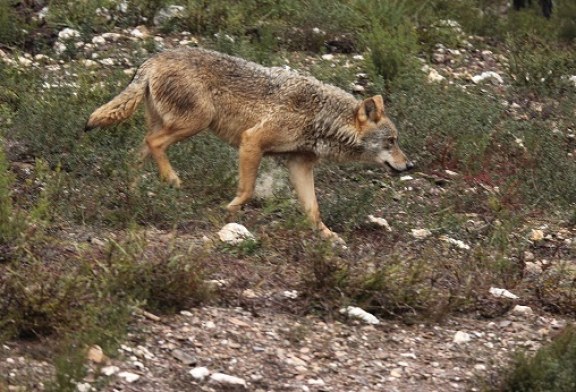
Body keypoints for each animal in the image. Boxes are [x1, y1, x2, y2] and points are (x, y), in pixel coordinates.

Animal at [85, 47, 412, 240]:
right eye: (391, 141)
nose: (410, 165)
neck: (321, 117)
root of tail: (154, 57)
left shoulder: (300, 165)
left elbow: (313, 209)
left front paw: (328, 236)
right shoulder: (252, 141)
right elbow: (247, 190)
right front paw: (228, 211)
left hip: (173, 124)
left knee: (136, 153)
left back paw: (135, 194)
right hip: (197, 122)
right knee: (154, 143)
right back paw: (172, 179)